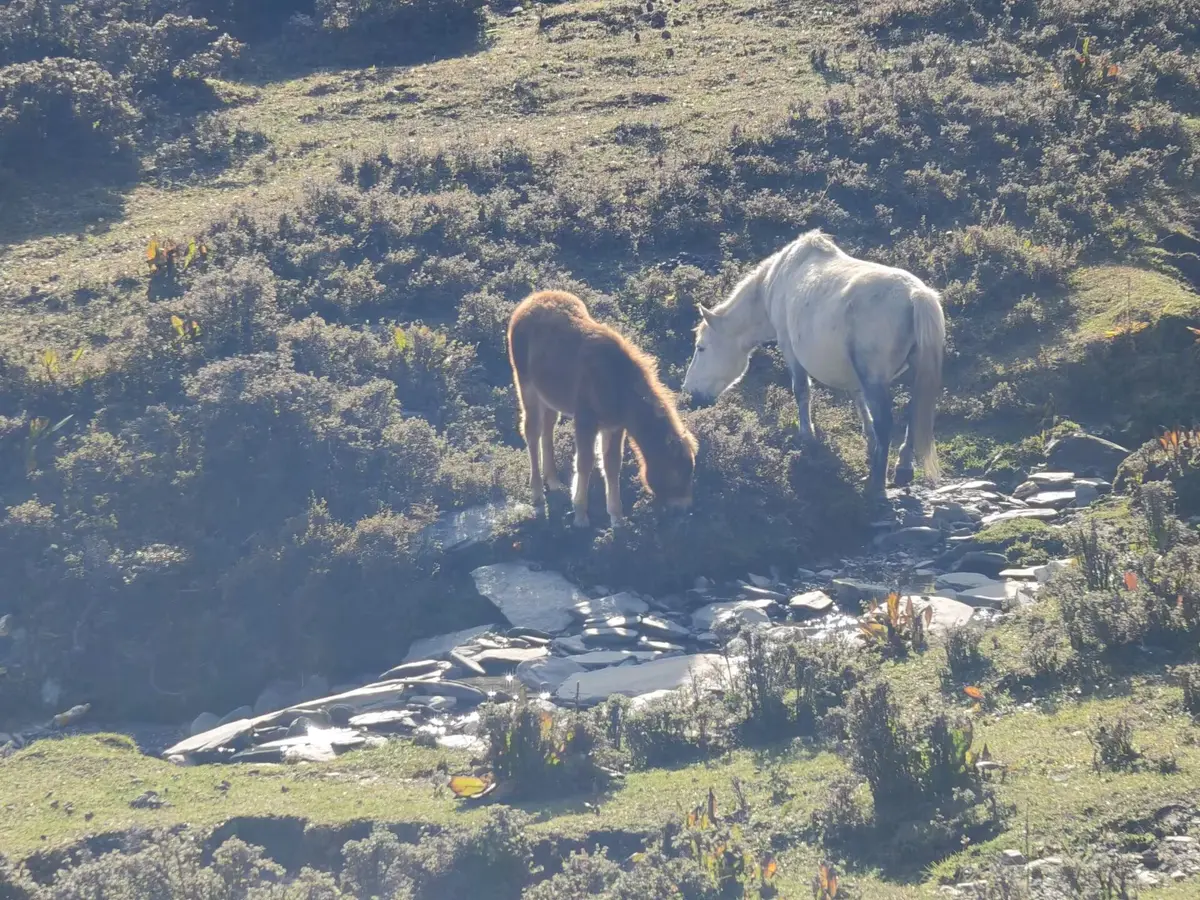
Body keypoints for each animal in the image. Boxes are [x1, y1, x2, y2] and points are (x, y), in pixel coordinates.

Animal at [507, 289, 699, 528]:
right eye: (676, 472)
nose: (684, 508)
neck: (619, 385)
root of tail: (526, 304)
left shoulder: (614, 426)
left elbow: (611, 465)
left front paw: (616, 517)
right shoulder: (585, 420)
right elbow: (585, 462)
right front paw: (580, 514)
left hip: (550, 395)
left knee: (548, 427)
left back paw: (552, 480)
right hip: (526, 384)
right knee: (532, 431)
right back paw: (538, 495)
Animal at [680, 229, 945, 502]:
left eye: (701, 347)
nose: (689, 392)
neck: (773, 284)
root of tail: (916, 295)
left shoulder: (790, 348)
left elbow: (802, 391)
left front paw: (807, 436)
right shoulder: (854, 374)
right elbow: (858, 399)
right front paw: (868, 437)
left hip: (875, 378)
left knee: (887, 422)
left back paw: (877, 485)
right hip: (911, 372)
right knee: (913, 413)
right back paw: (903, 467)